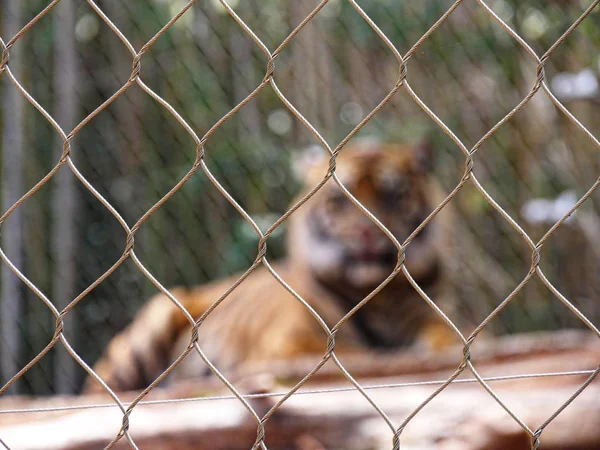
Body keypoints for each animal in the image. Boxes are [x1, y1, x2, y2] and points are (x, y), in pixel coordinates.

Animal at [85, 138, 454, 394]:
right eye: (338, 200)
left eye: (392, 195)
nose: (365, 232)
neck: (379, 294)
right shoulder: (289, 341)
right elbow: (351, 351)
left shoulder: (430, 316)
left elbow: (445, 337)